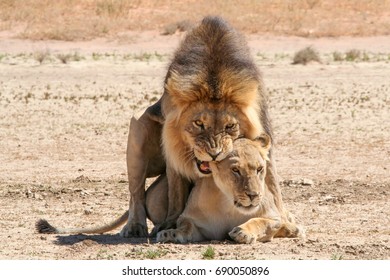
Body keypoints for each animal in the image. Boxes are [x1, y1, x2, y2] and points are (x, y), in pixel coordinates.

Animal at [119, 15, 280, 238]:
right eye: (198, 124)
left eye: (230, 126)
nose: (214, 154)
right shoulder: (172, 148)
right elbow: (176, 192)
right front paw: (170, 225)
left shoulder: (264, 133)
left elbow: (272, 180)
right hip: (138, 127)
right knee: (136, 192)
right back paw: (135, 226)